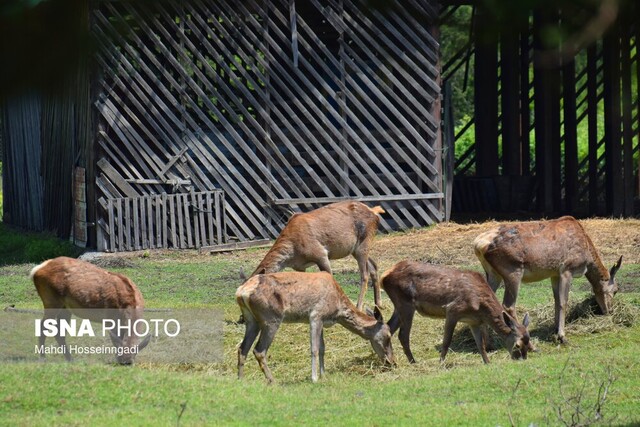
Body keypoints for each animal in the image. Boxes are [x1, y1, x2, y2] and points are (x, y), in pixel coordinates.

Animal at [235, 270, 396, 384]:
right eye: (388, 336)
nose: (392, 362)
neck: (338, 308)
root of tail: (241, 292)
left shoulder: (322, 320)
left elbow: (323, 348)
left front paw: (323, 375)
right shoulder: (315, 316)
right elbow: (314, 348)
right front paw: (314, 378)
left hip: (251, 320)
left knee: (243, 348)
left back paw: (241, 380)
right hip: (271, 319)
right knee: (259, 350)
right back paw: (273, 381)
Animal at [250, 201, 384, 310]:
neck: (292, 254)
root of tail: (375, 212)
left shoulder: (321, 254)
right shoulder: (300, 266)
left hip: (363, 245)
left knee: (364, 274)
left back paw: (359, 306)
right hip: (355, 250)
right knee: (374, 266)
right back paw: (378, 304)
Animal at [380, 260, 528, 364]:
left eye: (528, 342)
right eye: (517, 345)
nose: (521, 360)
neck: (480, 308)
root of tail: (384, 276)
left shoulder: (474, 321)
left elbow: (480, 344)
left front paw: (487, 362)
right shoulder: (453, 310)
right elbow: (446, 341)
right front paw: (441, 363)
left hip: (399, 306)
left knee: (389, 327)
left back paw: (390, 361)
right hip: (405, 303)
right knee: (402, 335)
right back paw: (413, 362)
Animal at [476, 217, 620, 344]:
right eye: (616, 290)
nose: (610, 311)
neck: (587, 256)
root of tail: (478, 245)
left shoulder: (554, 274)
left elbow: (556, 300)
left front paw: (555, 329)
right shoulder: (567, 269)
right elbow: (563, 302)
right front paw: (562, 336)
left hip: (493, 274)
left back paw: (487, 342)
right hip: (513, 271)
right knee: (508, 305)